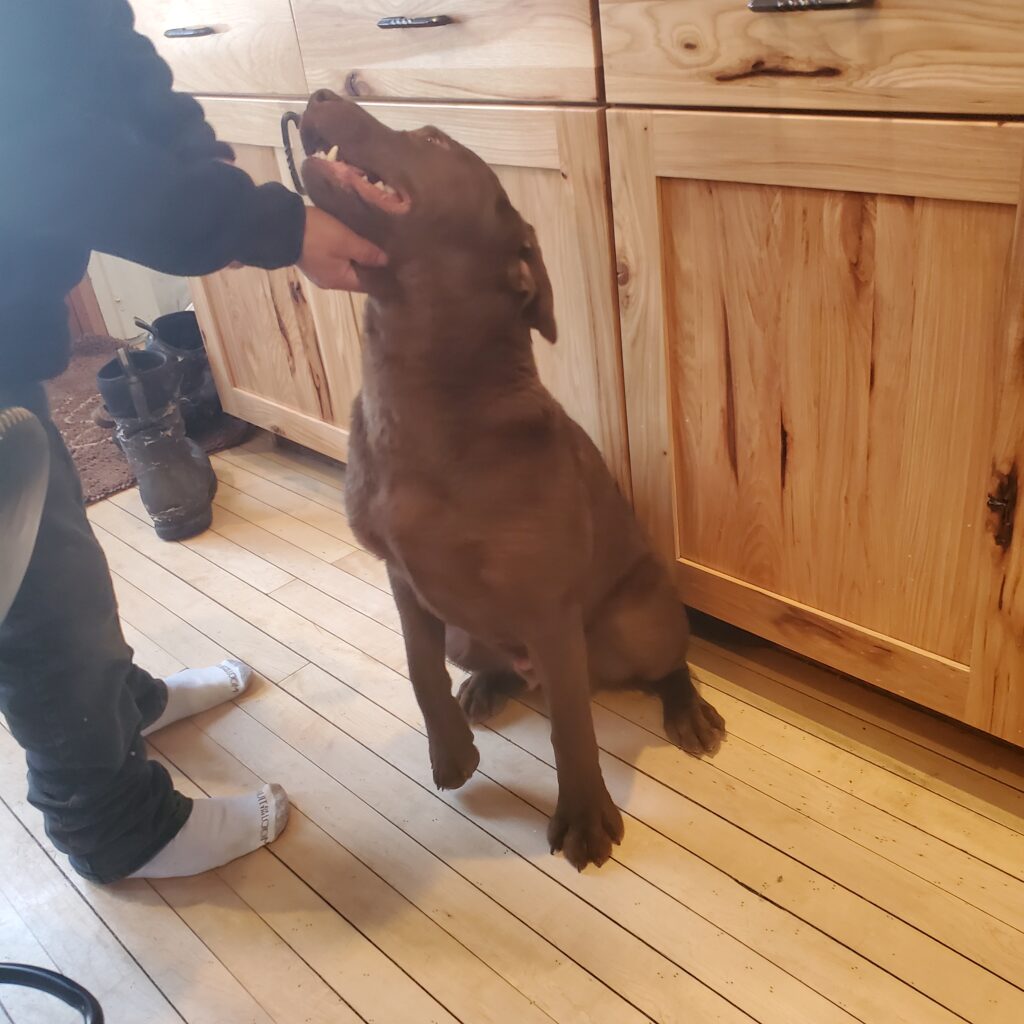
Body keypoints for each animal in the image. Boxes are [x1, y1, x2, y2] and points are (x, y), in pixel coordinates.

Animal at [299, 92, 724, 868]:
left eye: (434, 138)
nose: (321, 95)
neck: (421, 394)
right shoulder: (405, 581)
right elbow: (420, 669)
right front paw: (449, 751)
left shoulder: (547, 607)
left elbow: (571, 728)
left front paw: (585, 815)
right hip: (468, 631)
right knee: (481, 662)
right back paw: (487, 685)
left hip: (636, 617)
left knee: (664, 664)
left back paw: (687, 709)